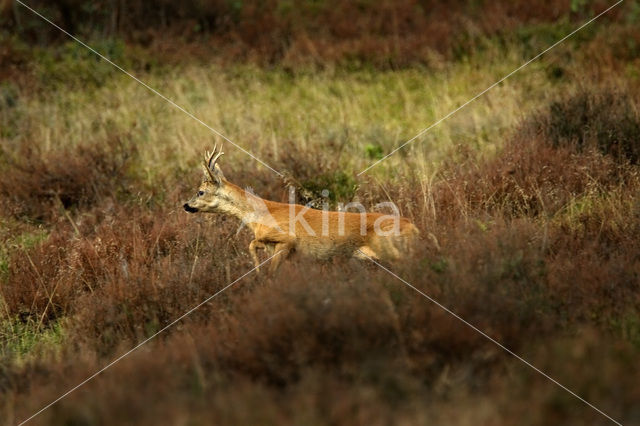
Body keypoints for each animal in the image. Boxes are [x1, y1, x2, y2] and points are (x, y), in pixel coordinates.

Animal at [182, 146, 420, 272]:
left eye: (200, 191)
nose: (185, 205)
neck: (261, 214)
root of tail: (414, 228)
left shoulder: (287, 239)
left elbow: (257, 252)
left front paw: (258, 272)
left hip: (393, 250)